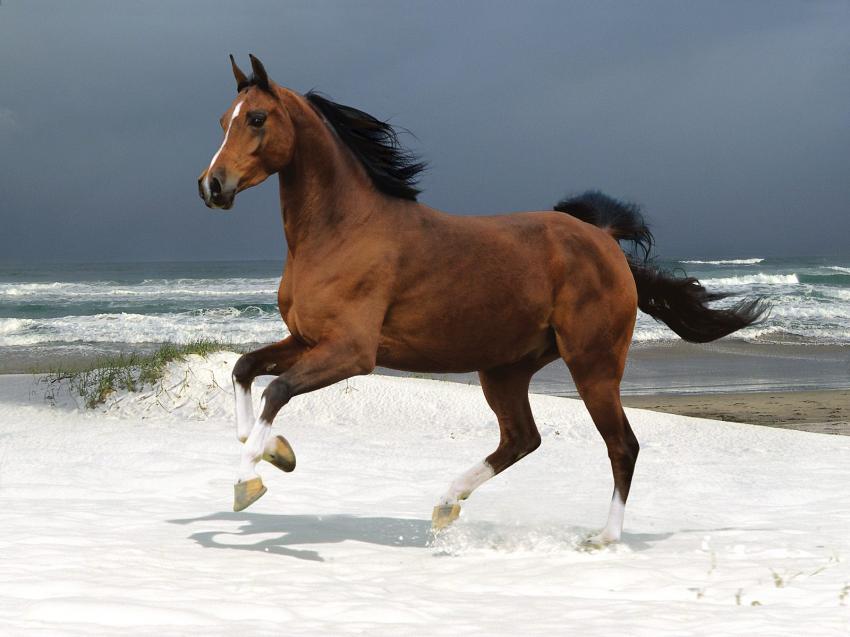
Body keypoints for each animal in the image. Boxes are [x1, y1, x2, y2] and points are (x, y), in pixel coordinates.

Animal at [197, 54, 765, 543]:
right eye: (224, 119)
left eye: (257, 118)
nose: (211, 185)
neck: (342, 230)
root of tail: (602, 239)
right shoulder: (307, 339)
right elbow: (245, 369)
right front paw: (275, 452)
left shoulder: (352, 353)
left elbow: (277, 391)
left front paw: (249, 480)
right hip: (505, 369)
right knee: (522, 439)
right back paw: (446, 503)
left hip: (593, 365)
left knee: (621, 445)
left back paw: (603, 538)